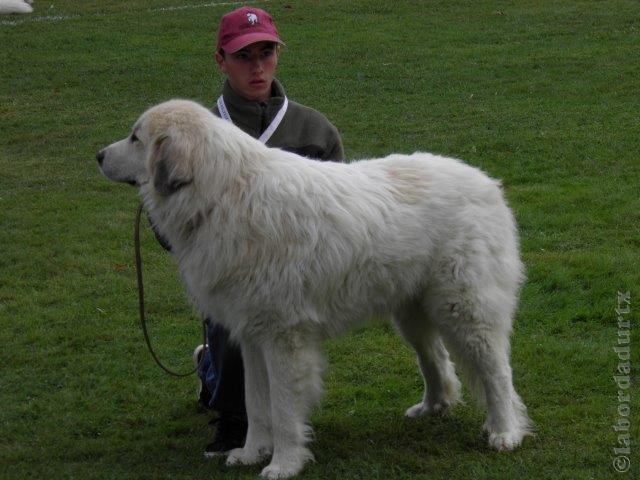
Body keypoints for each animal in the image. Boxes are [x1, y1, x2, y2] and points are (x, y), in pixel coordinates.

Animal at [97, 99, 532, 478]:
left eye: (136, 138)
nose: (99, 155)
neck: (223, 195)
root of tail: (486, 182)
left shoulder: (284, 337)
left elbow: (283, 409)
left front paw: (284, 464)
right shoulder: (251, 336)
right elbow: (256, 404)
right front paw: (251, 452)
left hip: (466, 310)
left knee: (498, 373)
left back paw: (505, 432)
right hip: (412, 313)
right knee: (436, 360)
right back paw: (433, 407)